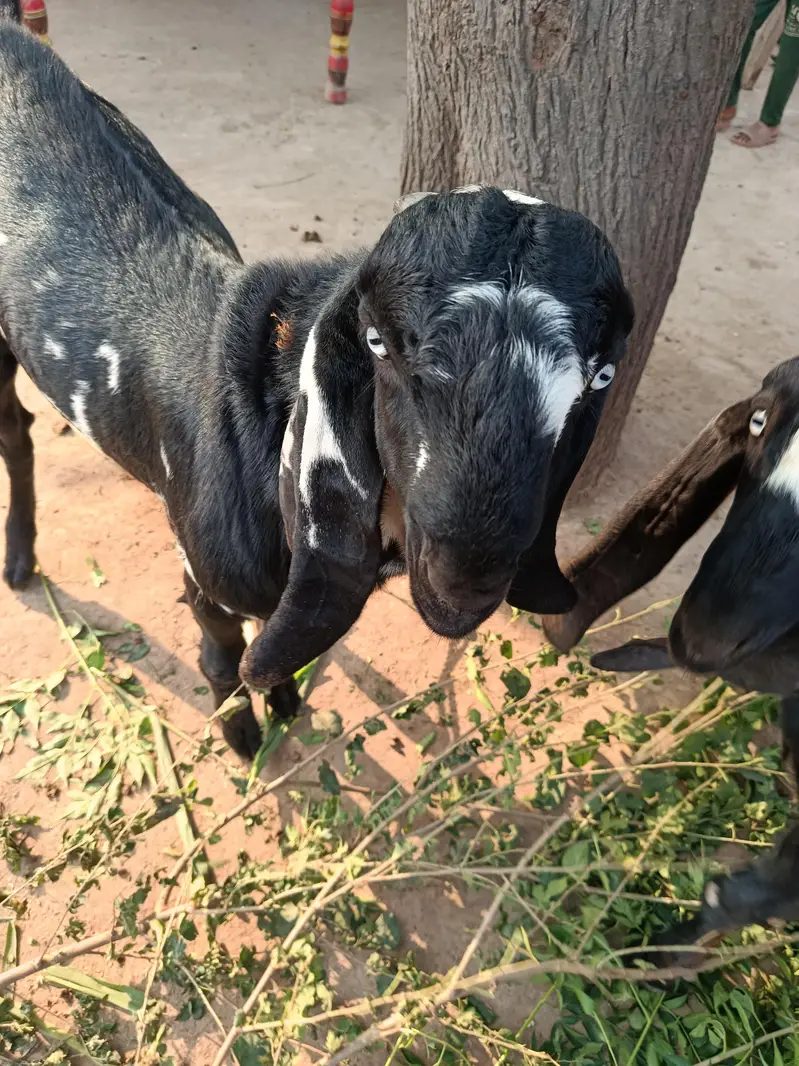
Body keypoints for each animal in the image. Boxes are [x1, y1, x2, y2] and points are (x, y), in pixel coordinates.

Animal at [0, 18, 633, 759]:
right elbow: (222, 653)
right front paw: (243, 733)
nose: (464, 581)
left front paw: (284, 704)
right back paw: (20, 558)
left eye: (600, 376)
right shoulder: (205, 573)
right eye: (378, 342)